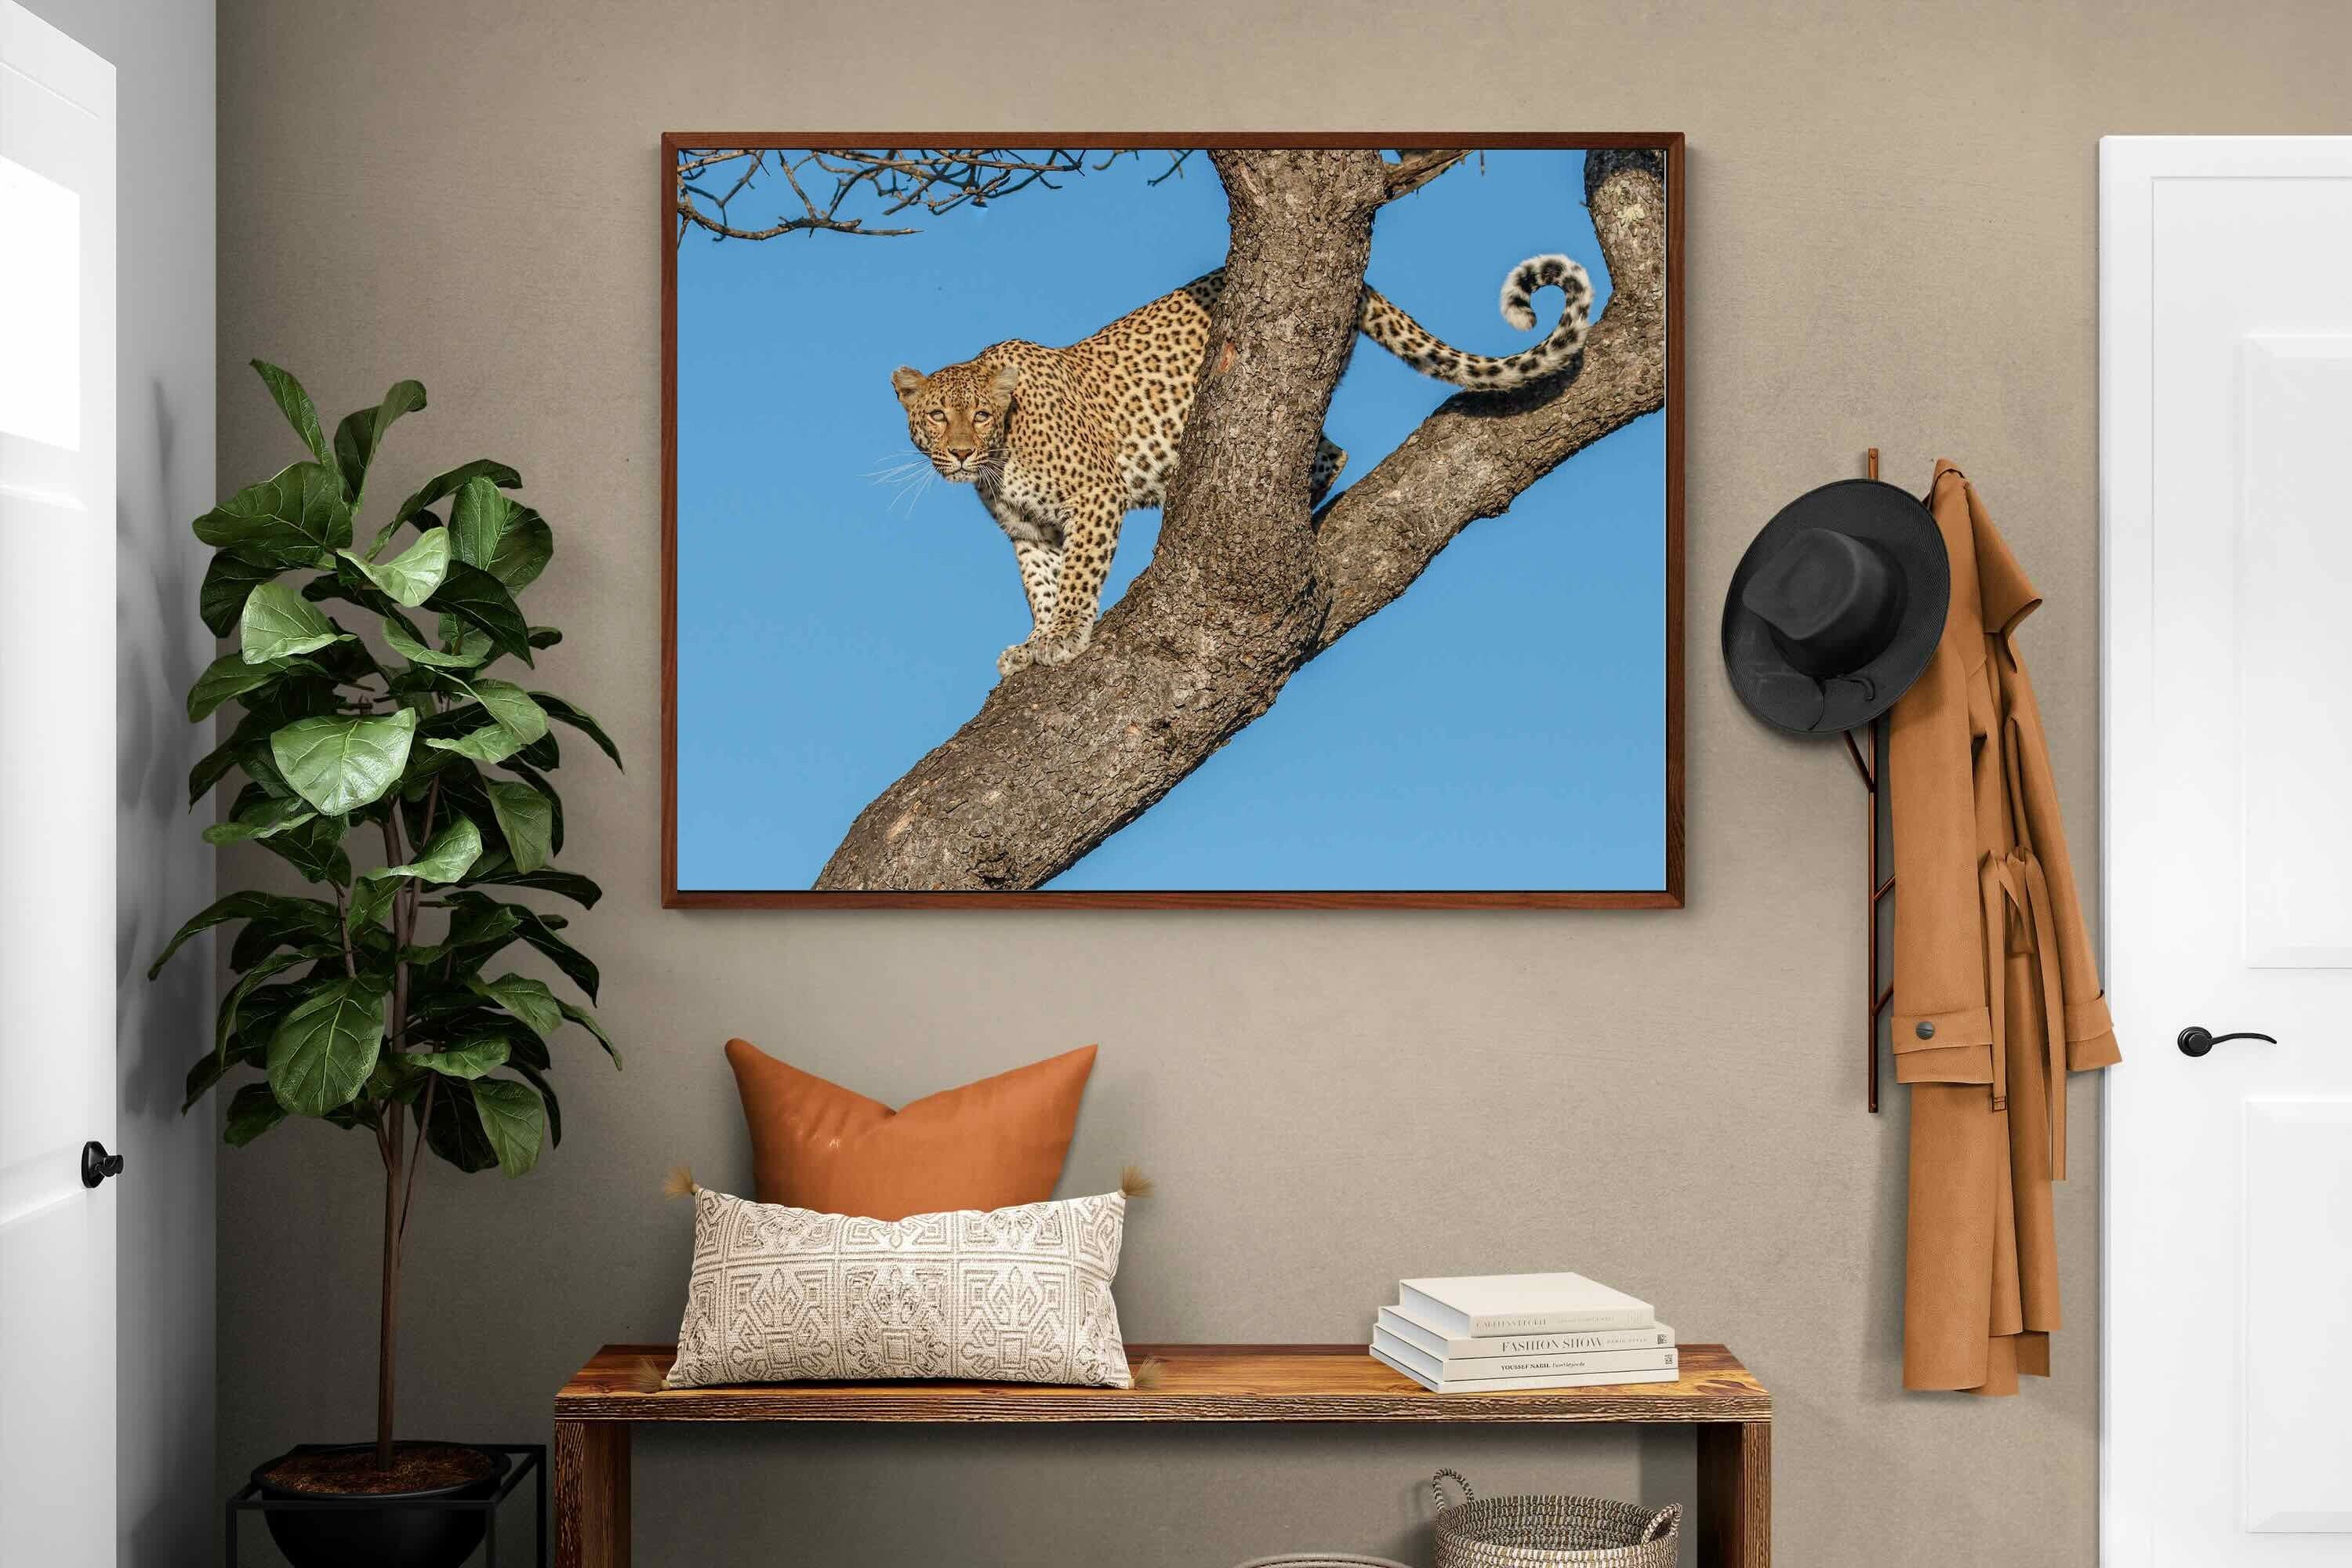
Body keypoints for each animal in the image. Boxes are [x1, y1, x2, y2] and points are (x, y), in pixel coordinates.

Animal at [890, 253, 1593, 677]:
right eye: (937, 416)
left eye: (982, 415)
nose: (959, 451)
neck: (1000, 457)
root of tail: (1358, 283)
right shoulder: (1030, 532)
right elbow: (1040, 584)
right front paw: (1034, 642)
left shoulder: (1095, 497)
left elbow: (1078, 580)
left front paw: (1063, 635)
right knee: (1331, 451)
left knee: (1325, 453)